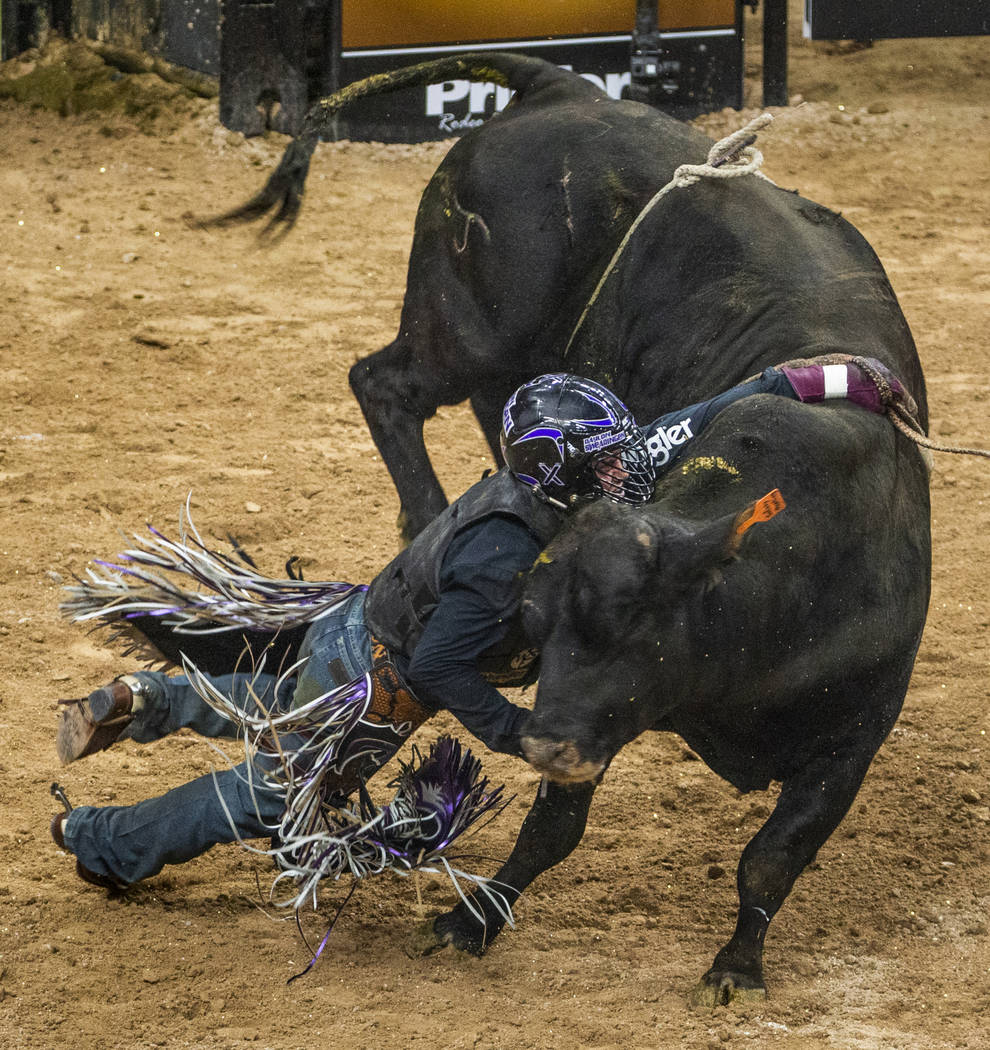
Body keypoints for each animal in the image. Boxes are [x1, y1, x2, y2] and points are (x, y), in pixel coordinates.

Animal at [204, 55, 932, 999]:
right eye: (540, 627)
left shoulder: (851, 739)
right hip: (470, 331)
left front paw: (737, 966)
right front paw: (473, 920)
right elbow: (556, 828)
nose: (544, 744)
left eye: (638, 632)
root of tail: (562, 85)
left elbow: (773, 856)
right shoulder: (592, 715)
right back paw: (426, 511)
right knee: (384, 382)